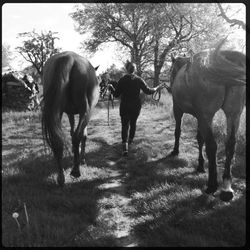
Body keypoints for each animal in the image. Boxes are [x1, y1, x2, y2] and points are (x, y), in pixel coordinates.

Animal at [41, 51, 100, 187]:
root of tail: (67, 58)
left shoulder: (70, 113)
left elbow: (72, 132)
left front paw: (75, 152)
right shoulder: (83, 113)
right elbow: (82, 135)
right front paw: (81, 158)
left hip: (56, 111)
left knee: (57, 140)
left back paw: (61, 177)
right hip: (85, 111)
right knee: (78, 135)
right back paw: (76, 170)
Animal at [168, 38, 246, 201]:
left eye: (171, 70)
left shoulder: (179, 109)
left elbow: (178, 131)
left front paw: (176, 151)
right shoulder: (200, 116)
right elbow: (199, 138)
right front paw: (200, 165)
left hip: (207, 115)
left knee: (212, 146)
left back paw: (212, 185)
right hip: (233, 114)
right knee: (230, 144)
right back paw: (226, 187)